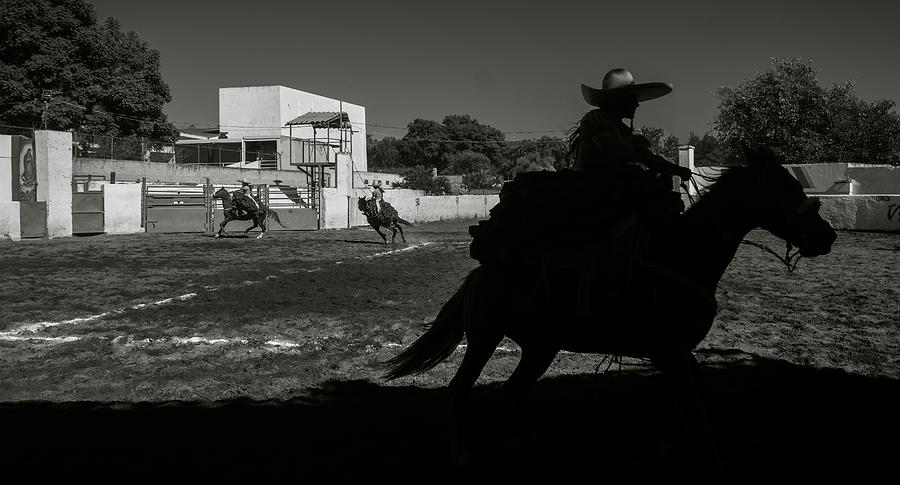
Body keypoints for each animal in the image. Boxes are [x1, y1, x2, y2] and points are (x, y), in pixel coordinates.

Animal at [380, 146, 836, 466]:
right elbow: (694, 405)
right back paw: (462, 453)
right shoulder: (669, 352)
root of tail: (480, 273)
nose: (827, 235)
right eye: (787, 189)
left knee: (511, 393)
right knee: (460, 389)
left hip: (539, 348)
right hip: (484, 338)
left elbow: (694, 401)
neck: (682, 254)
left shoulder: (680, 354)